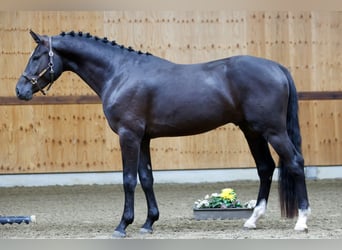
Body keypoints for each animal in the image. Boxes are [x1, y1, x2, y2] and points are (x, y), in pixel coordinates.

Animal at [16, 30, 310, 236]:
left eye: (36, 57)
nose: (20, 90)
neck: (120, 73)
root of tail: (277, 67)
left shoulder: (128, 135)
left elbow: (128, 180)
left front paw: (123, 225)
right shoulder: (143, 138)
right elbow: (147, 178)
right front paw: (148, 223)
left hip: (272, 131)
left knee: (295, 162)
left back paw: (302, 221)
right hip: (252, 131)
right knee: (265, 168)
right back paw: (252, 220)